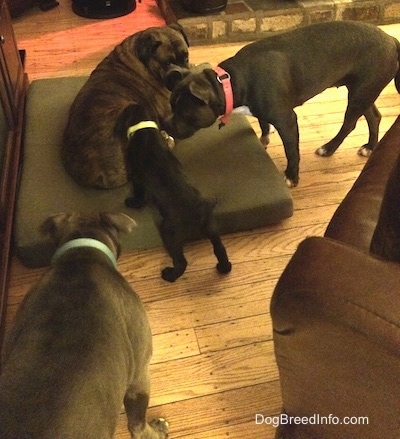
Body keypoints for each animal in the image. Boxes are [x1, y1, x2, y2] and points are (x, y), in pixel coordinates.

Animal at [114, 104, 231, 282]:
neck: (144, 129)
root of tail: (199, 213)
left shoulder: (137, 176)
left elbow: (139, 194)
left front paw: (133, 202)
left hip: (169, 232)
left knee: (181, 262)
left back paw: (169, 275)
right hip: (212, 228)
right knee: (220, 249)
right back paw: (224, 268)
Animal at [164, 21, 400, 186]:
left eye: (183, 111)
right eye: (171, 105)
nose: (166, 124)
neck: (228, 82)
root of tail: (391, 39)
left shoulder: (287, 121)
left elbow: (291, 151)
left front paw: (291, 177)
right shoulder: (262, 111)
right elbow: (263, 123)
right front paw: (264, 139)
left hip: (360, 94)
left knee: (350, 124)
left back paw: (328, 148)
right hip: (363, 91)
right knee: (374, 116)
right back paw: (370, 147)